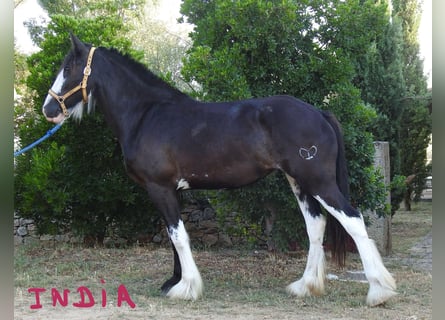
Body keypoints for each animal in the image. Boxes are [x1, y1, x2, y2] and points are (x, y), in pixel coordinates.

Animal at [41, 33, 396, 306]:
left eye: (69, 67)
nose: (48, 109)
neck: (147, 114)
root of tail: (319, 112)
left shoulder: (160, 188)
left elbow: (178, 236)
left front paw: (185, 288)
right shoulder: (173, 190)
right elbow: (174, 236)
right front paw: (174, 281)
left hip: (318, 180)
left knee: (353, 220)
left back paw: (379, 291)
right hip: (299, 182)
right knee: (316, 226)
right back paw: (305, 286)